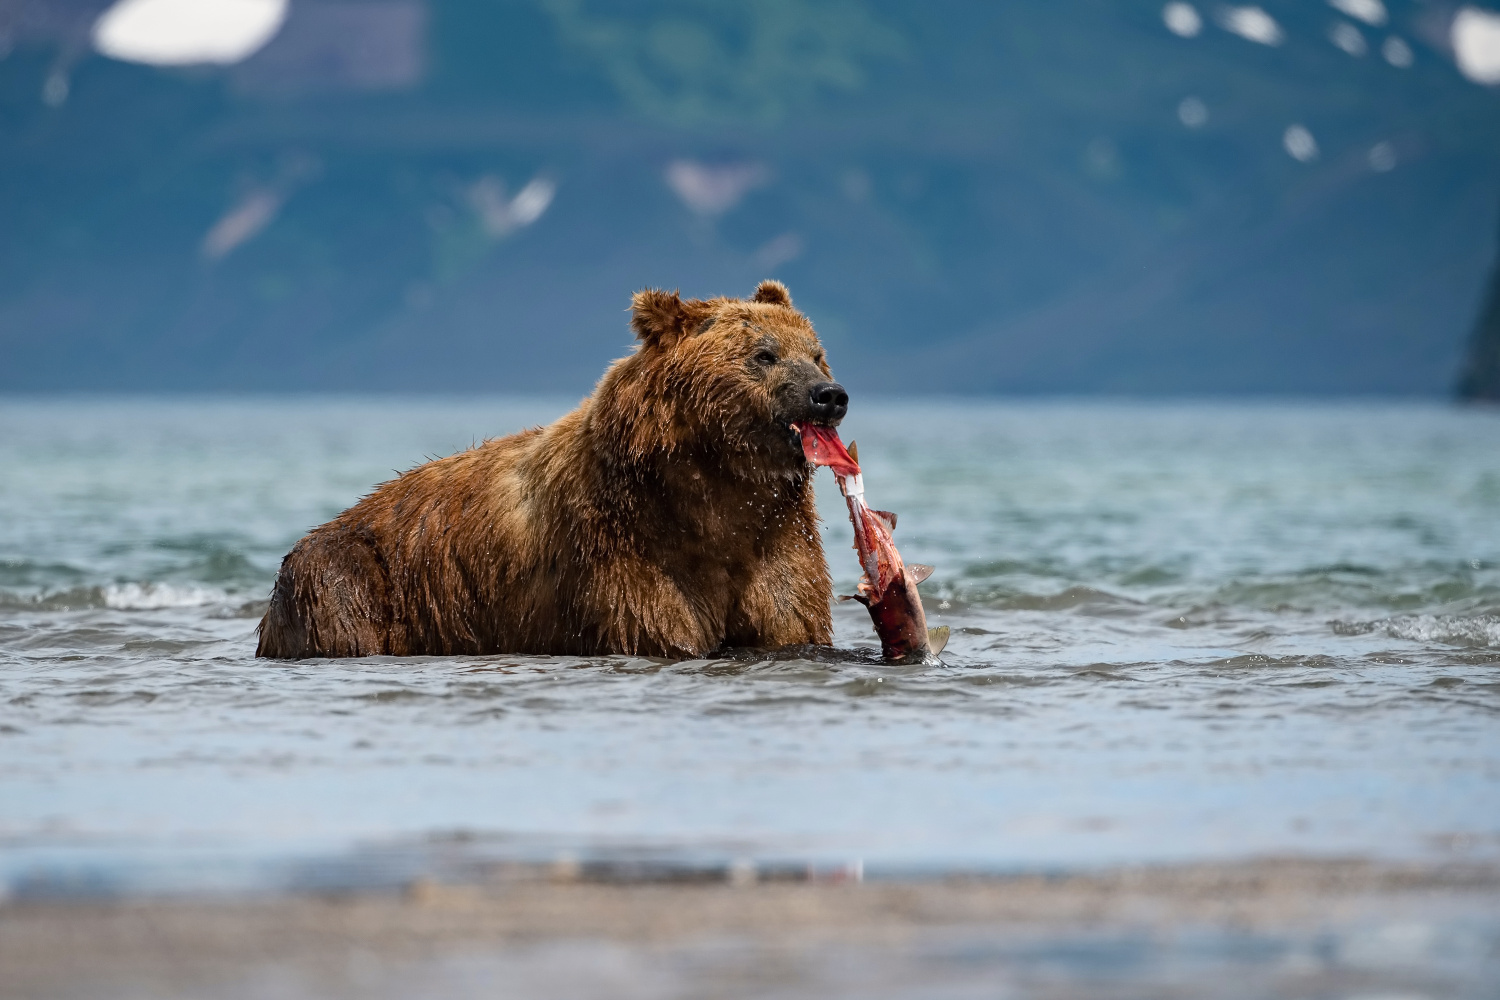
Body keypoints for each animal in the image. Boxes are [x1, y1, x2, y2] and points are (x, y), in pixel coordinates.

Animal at [256, 277, 846, 659]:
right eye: (764, 355)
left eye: (816, 352)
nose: (829, 395)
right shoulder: (623, 541)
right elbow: (656, 626)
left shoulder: (774, 536)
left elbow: (789, 623)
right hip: (352, 578)